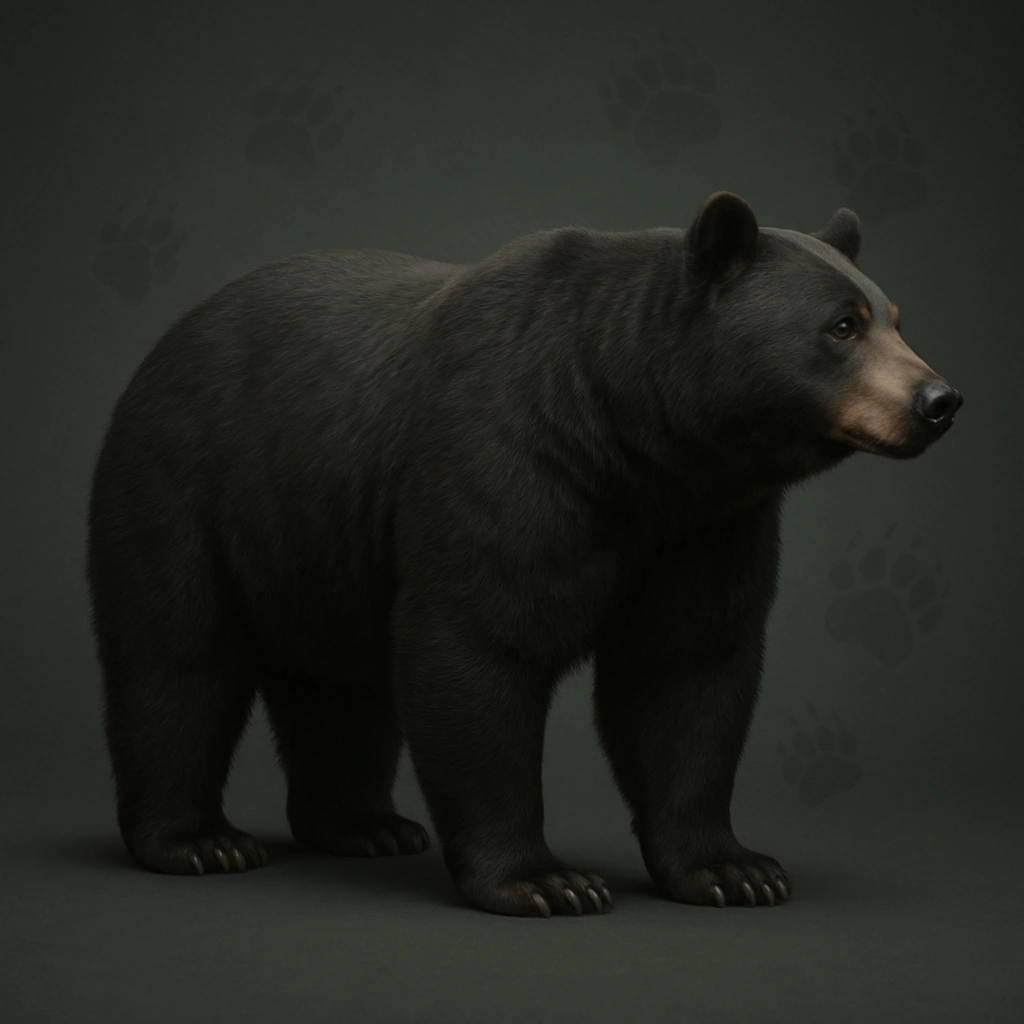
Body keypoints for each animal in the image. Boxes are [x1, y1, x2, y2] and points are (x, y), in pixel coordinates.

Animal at [86, 191, 962, 916]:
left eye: (897, 316)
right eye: (842, 324)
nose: (940, 400)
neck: (634, 439)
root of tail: (165, 341)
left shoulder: (708, 524)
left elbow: (689, 671)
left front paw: (733, 869)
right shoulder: (507, 458)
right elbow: (480, 647)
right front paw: (545, 880)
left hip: (317, 544)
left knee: (340, 688)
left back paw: (365, 826)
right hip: (185, 486)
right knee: (176, 658)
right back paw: (199, 840)